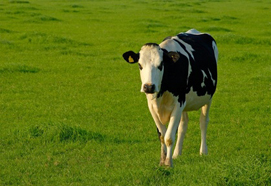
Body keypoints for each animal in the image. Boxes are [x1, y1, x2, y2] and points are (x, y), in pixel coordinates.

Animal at [123, 29, 219, 167]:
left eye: (160, 65)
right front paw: (162, 161)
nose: (148, 87)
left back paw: (203, 151)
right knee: (183, 125)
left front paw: (168, 163)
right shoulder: (152, 105)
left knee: (203, 121)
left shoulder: (178, 104)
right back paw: (177, 153)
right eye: (140, 65)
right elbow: (162, 135)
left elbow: (169, 137)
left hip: (208, 98)